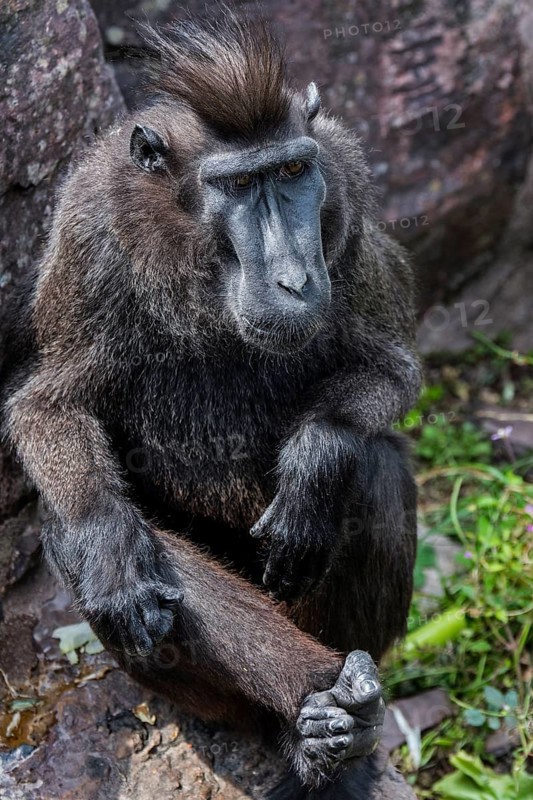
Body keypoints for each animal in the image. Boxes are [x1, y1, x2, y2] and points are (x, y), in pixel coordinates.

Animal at [1, 11, 421, 799]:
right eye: (238, 184)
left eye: (291, 173)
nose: (293, 280)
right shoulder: (89, 228)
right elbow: (49, 407)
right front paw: (110, 541)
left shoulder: (346, 188)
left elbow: (391, 370)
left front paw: (314, 458)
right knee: (73, 531)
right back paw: (313, 716)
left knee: (372, 467)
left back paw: (341, 728)